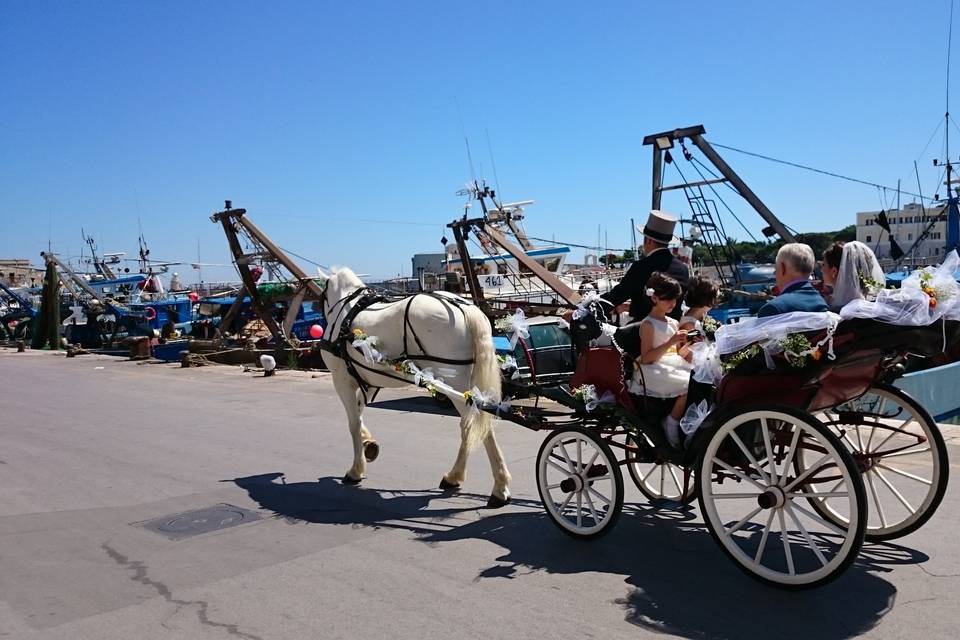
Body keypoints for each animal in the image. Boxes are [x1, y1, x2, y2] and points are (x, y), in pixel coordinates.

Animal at [318, 264, 510, 504]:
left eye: (322, 295)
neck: (346, 311)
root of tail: (465, 308)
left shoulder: (342, 381)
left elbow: (353, 423)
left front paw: (356, 470)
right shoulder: (367, 381)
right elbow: (360, 416)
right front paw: (368, 444)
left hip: (455, 382)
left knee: (472, 424)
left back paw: (489, 484)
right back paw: (462, 478)